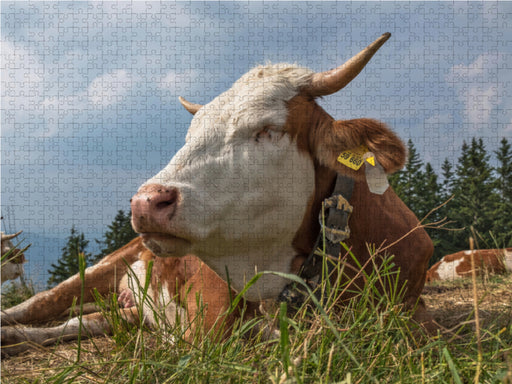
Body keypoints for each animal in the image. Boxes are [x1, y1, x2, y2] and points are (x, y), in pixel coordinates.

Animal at [1, 34, 436, 356]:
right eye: (191, 134)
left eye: (267, 129)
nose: (146, 202)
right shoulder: (207, 326)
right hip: (103, 265)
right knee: (40, 305)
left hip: (124, 309)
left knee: (80, 322)